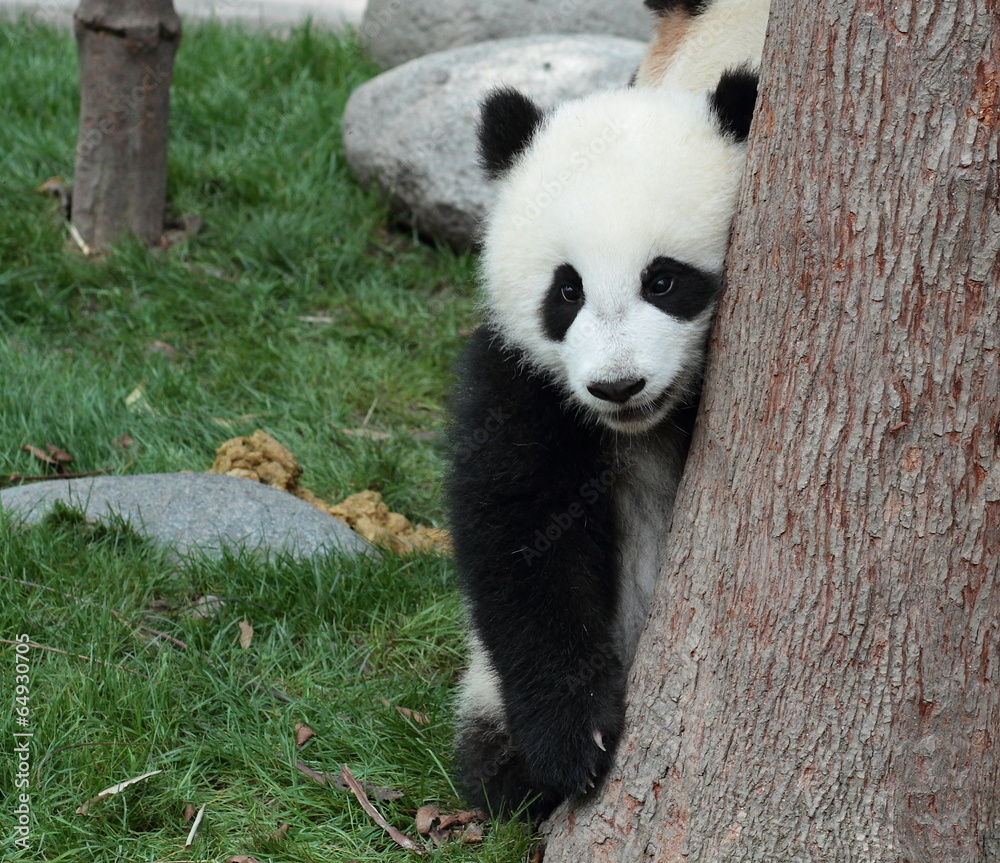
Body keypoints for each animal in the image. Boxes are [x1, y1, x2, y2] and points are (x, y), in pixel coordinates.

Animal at [448, 0, 770, 818]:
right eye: (567, 290)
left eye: (664, 279)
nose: (617, 385)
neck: (646, 426)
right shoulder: (524, 381)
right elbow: (519, 535)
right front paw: (571, 743)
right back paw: (505, 766)